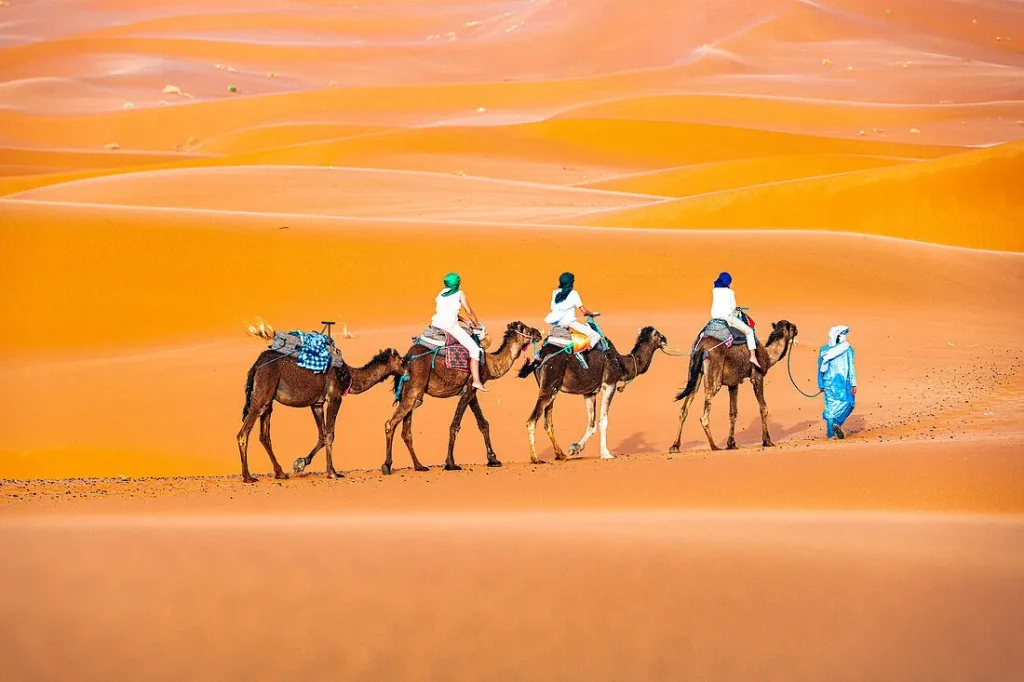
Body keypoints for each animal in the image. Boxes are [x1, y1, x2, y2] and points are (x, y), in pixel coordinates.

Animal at [238, 347, 405, 483]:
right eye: (402, 361)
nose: (407, 371)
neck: (349, 376)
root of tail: (257, 364)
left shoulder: (317, 404)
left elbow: (322, 435)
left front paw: (300, 464)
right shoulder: (334, 398)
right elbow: (330, 434)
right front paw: (332, 472)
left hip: (268, 401)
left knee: (264, 436)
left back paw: (280, 473)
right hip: (262, 394)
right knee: (243, 433)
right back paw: (248, 477)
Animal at [382, 321, 543, 475]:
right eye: (525, 329)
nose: (539, 333)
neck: (490, 364)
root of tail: (405, 360)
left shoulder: (472, 391)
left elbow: (483, 423)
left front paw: (493, 460)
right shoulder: (471, 387)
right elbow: (455, 425)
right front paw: (451, 463)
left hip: (410, 393)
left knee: (406, 431)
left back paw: (419, 466)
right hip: (414, 390)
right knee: (390, 423)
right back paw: (387, 466)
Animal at [519, 326, 669, 463]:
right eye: (658, 334)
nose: (665, 339)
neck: (621, 363)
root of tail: (540, 357)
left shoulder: (589, 393)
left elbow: (592, 424)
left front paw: (575, 448)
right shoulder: (609, 384)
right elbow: (603, 421)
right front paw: (606, 454)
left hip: (549, 388)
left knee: (548, 423)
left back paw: (560, 454)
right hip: (550, 384)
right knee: (531, 421)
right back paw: (535, 458)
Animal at [670, 320, 798, 452]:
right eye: (793, 327)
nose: (797, 329)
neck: (768, 355)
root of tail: (702, 346)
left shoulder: (733, 383)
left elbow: (733, 413)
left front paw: (731, 444)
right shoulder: (758, 376)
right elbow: (763, 408)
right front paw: (767, 441)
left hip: (695, 372)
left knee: (685, 407)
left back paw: (675, 446)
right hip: (714, 374)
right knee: (704, 414)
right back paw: (714, 446)